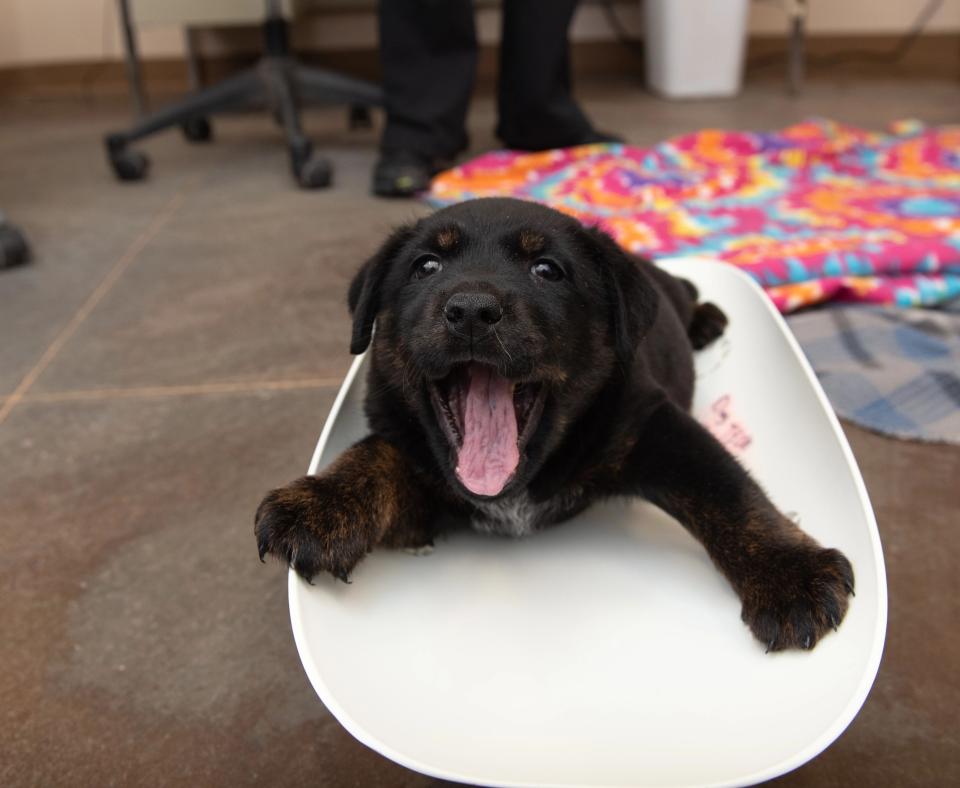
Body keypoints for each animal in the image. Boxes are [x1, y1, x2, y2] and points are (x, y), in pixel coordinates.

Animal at [255, 197, 856, 652]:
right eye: (425, 267)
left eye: (547, 270)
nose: (471, 310)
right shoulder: (410, 455)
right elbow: (375, 455)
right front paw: (322, 502)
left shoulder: (653, 424)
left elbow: (728, 492)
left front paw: (788, 572)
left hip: (670, 296)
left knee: (687, 293)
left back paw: (707, 319)